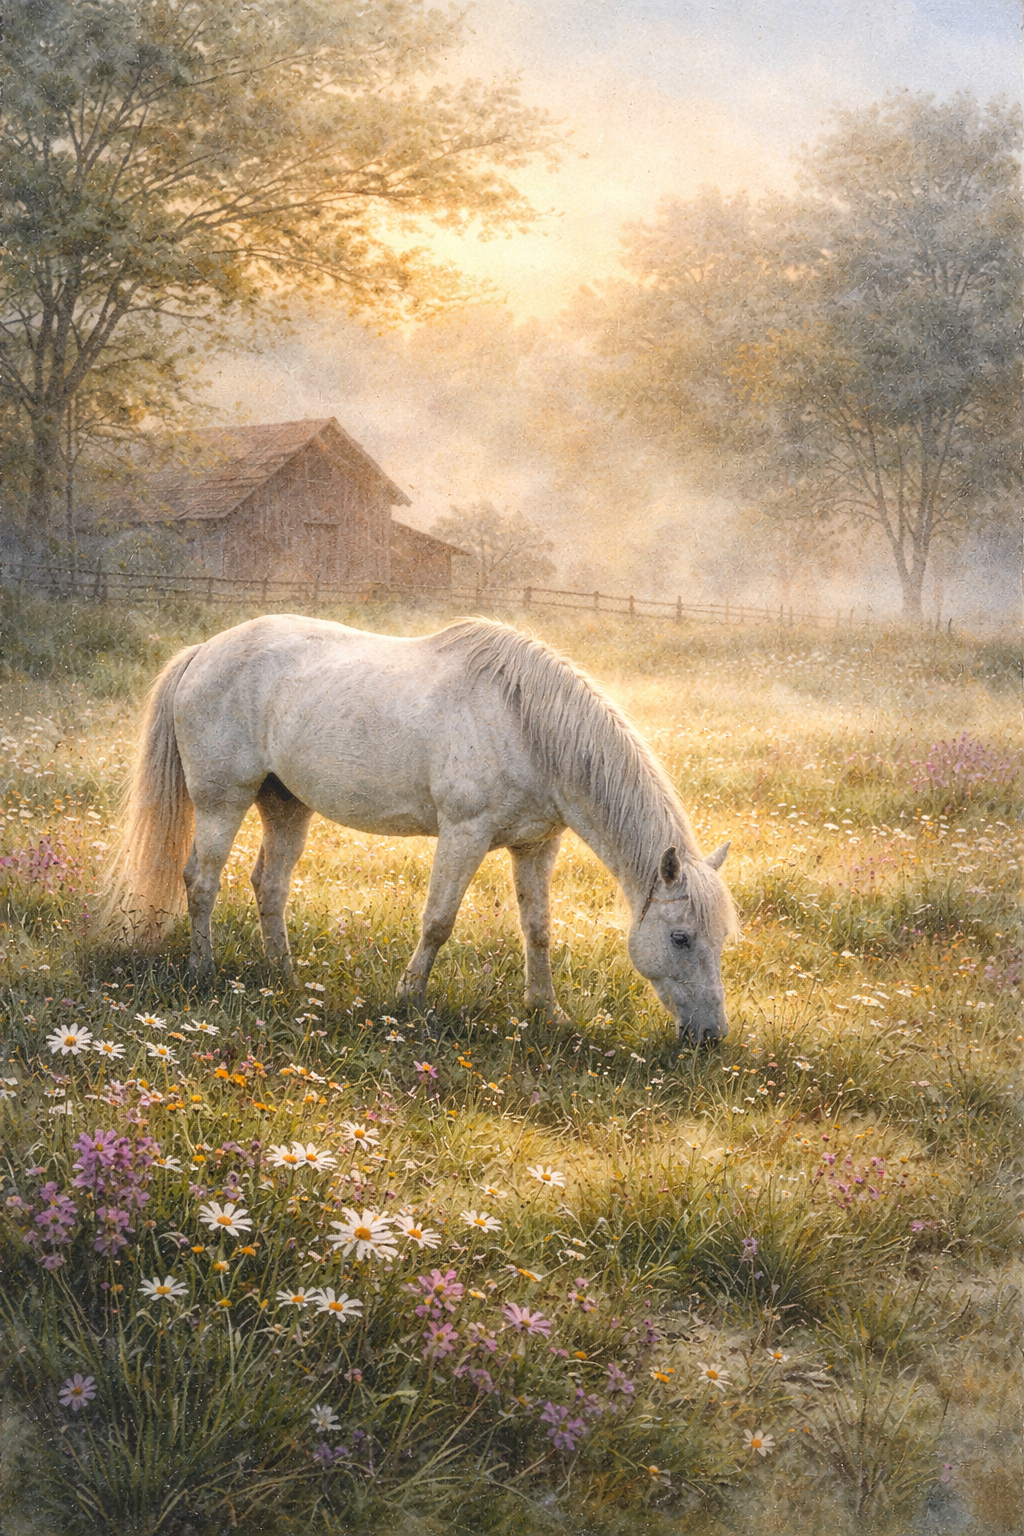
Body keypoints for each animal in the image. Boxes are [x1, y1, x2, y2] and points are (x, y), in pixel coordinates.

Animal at [110, 615, 738, 1042]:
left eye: (721, 939)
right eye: (681, 938)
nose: (710, 1036)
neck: (526, 723)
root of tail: (204, 651)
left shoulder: (536, 846)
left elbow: (538, 930)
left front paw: (546, 1011)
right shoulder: (465, 834)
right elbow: (438, 921)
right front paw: (407, 1001)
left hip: (286, 805)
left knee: (270, 886)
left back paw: (282, 976)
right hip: (223, 801)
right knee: (201, 881)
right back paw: (203, 972)